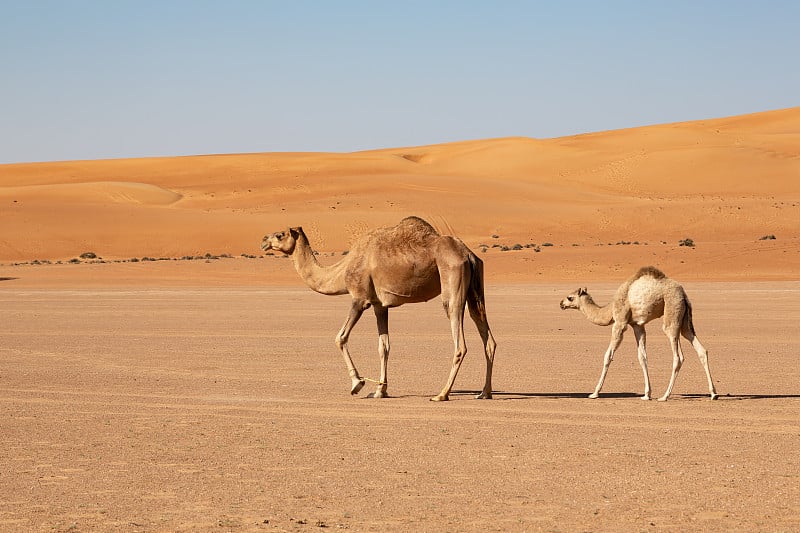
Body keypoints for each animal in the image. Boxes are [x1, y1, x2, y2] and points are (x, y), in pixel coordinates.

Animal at [564, 266, 720, 400]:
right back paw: (713, 393)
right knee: (700, 348)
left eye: (570, 297)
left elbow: (608, 355)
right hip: (685, 320)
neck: (610, 309)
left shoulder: (620, 322)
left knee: (678, 356)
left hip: (672, 310)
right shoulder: (637, 325)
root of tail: (684, 295)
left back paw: (665, 396)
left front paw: (594, 393)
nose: (561, 304)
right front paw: (646, 394)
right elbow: (642, 357)